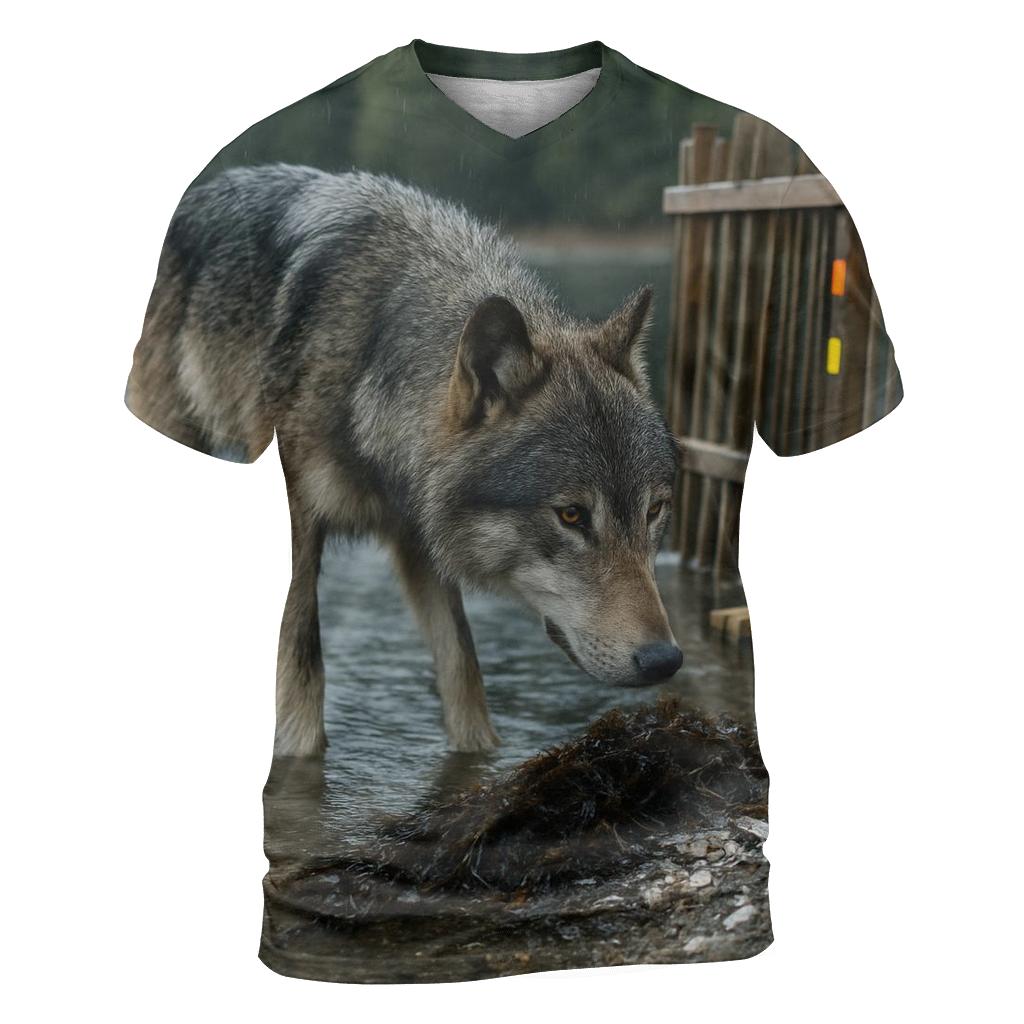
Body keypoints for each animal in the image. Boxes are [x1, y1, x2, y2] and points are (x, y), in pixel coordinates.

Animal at [128, 165, 684, 757]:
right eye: (572, 516)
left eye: (654, 511)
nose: (665, 660)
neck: (367, 372)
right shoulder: (300, 532)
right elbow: (302, 680)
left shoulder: (419, 544)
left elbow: (464, 677)